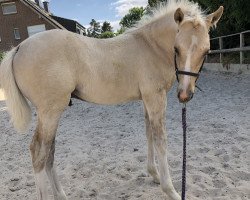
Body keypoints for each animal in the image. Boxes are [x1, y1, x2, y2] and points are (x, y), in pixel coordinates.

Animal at [0, 0, 223, 199]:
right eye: (176, 48)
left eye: (206, 51)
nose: (184, 94)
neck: (150, 46)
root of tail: (19, 48)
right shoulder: (156, 97)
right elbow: (161, 140)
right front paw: (171, 190)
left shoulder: (147, 99)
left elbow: (149, 132)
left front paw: (154, 174)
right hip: (50, 112)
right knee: (39, 152)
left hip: (51, 114)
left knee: (49, 151)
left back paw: (61, 195)